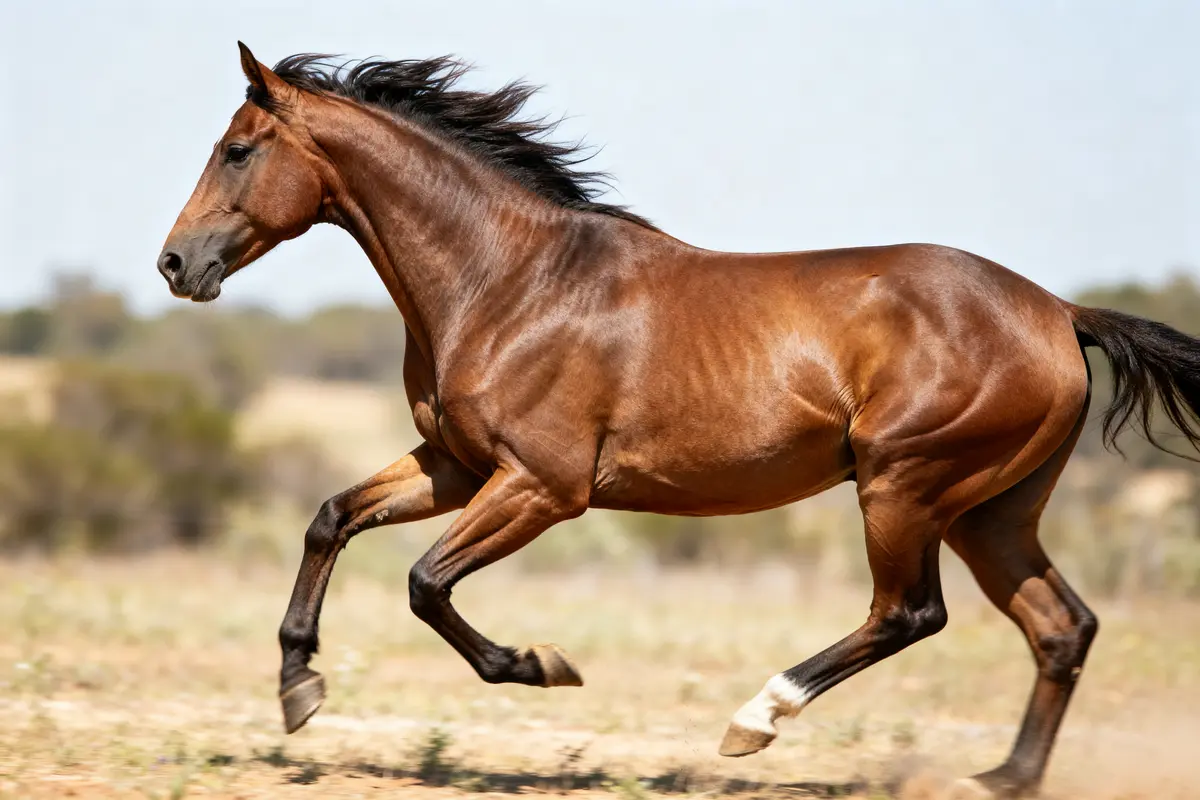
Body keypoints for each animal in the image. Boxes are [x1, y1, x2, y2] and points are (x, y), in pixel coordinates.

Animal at [158, 44, 1200, 797]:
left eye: (238, 149)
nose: (175, 264)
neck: (508, 281)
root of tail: (1059, 312)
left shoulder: (543, 487)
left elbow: (424, 583)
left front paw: (543, 665)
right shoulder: (454, 466)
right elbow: (330, 518)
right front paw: (299, 689)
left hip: (906, 487)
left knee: (910, 612)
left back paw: (755, 720)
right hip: (993, 511)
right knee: (1061, 627)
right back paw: (998, 779)